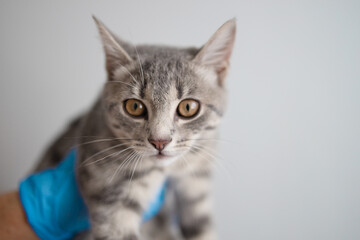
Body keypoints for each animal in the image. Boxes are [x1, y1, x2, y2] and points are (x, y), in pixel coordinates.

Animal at [34, 16, 236, 240]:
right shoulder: (109, 191)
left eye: (188, 107)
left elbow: (201, 227)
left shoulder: (198, 178)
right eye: (134, 107)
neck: (167, 170)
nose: (160, 141)